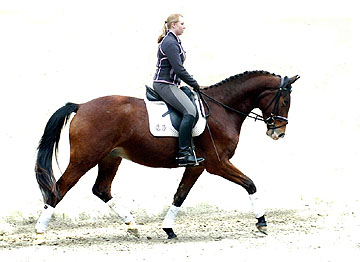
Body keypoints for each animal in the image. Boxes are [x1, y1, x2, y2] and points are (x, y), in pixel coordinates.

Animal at [34, 69, 298, 239]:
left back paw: (132, 225)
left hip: (110, 157)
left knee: (101, 189)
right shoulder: (217, 163)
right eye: (285, 100)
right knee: (59, 189)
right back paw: (39, 232)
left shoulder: (197, 166)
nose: (279, 133)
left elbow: (180, 195)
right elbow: (250, 183)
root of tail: (80, 106)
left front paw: (169, 229)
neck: (222, 109)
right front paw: (262, 222)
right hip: (85, 158)